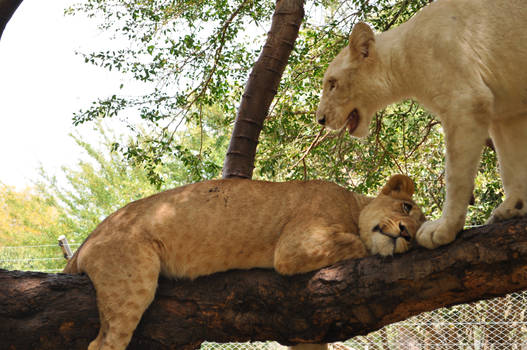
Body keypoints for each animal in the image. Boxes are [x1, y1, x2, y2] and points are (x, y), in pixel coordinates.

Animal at [318, 1, 527, 250]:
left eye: (332, 84)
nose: (320, 119)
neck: (402, 62)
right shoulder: (507, 111)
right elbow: (511, 165)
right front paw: (513, 207)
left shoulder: (465, 102)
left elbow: (456, 177)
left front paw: (443, 229)